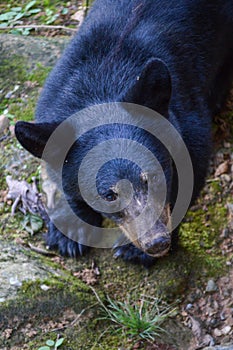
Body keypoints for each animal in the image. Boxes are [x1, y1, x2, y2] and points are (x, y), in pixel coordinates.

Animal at [15, 1, 233, 266]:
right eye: (109, 195)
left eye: (155, 177)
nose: (156, 242)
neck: (103, 83)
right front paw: (68, 232)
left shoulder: (189, 119)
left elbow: (191, 175)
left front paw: (134, 251)